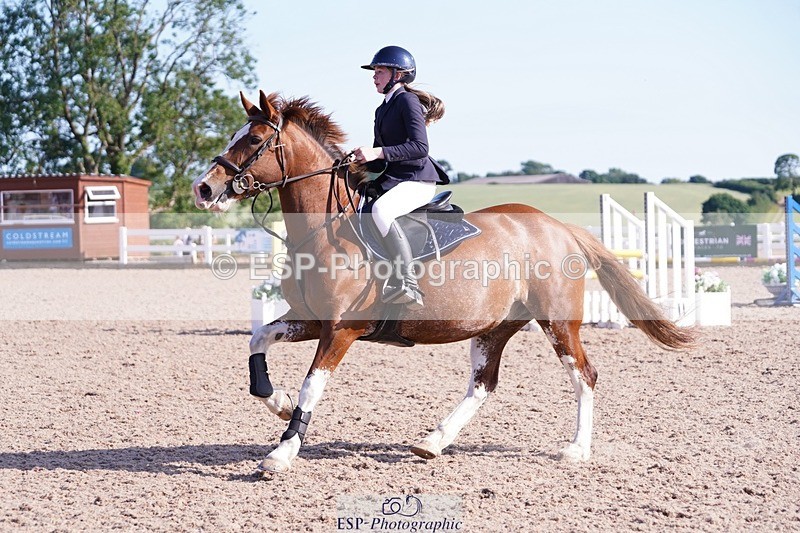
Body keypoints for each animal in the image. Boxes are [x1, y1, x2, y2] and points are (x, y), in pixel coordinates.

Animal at [192, 90, 694, 474]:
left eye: (254, 139)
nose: (203, 188)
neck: (326, 230)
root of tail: (556, 226)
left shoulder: (341, 330)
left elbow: (312, 385)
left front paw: (281, 452)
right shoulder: (310, 319)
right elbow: (258, 340)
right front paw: (275, 401)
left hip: (557, 322)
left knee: (583, 375)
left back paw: (576, 449)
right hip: (495, 328)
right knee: (483, 384)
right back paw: (432, 441)